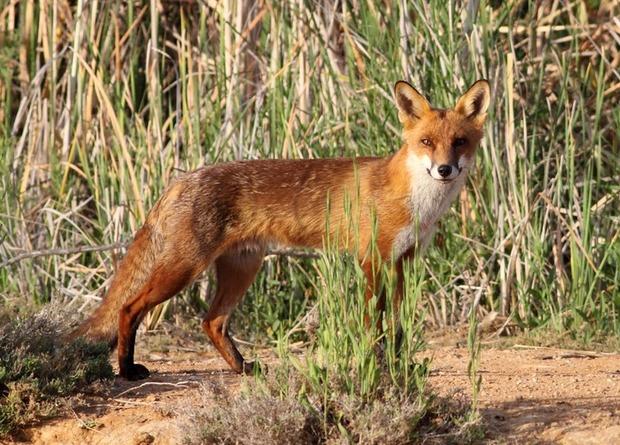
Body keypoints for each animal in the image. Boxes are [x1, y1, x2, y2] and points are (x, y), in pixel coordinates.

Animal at [71, 79, 490, 378]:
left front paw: (400, 365)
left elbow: (397, 327)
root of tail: (181, 179)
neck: (416, 203)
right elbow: (374, 324)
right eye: (426, 142)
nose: (444, 169)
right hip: (182, 269)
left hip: (242, 269)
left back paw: (243, 369)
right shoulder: (372, 261)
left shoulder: (404, 262)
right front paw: (375, 365)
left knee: (212, 322)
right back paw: (127, 370)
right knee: (129, 308)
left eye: (459, 142)